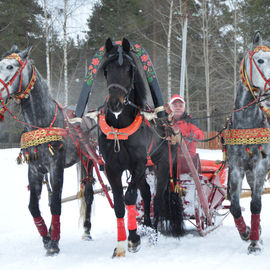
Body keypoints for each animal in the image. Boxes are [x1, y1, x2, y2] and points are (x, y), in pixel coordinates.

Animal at [0, 46, 96, 255]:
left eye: (10, 66)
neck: (41, 123)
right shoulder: (35, 169)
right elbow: (35, 206)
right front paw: (46, 237)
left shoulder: (56, 166)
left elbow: (56, 205)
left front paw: (54, 243)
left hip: (87, 161)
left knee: (88, 193)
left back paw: (87, 231)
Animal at [97, 38, 186, 258]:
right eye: (106, 69)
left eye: (129, 69)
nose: (115, 104)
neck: (120, 128)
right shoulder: (112, 168)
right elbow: (119, 204)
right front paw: (122, 244)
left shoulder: (137, 164)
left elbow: (129, 197)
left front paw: (134, 239)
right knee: (145, 193)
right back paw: (145, 226)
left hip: (162, 166)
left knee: (158, 199)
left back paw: (153, 233)